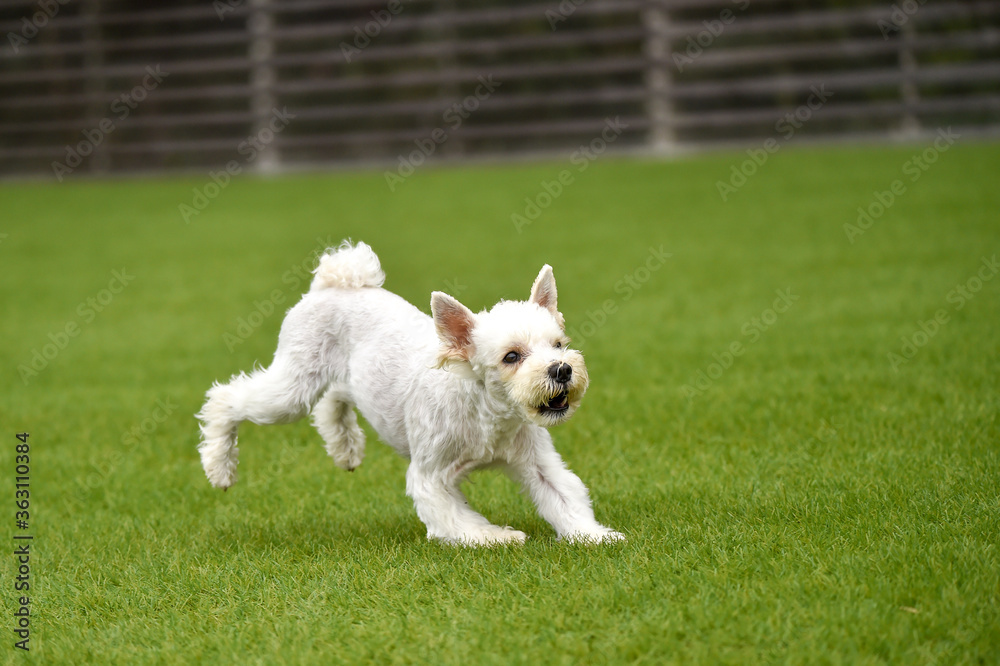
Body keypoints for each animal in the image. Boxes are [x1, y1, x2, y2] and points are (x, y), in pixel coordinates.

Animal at [198, 241, 620, 544]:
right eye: (511, 356)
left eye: (559, 344)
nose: (562, 370)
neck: (486, 412)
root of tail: (334, 282)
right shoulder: (431, 476)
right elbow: (457, 518)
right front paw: (496, 537)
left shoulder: (538, 464)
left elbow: (565, 498)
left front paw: (595, 536)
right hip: (292, 387)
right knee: (227, 398)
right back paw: (219, 467)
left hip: (346, 378)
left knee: (332, 400)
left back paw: (345, 449)